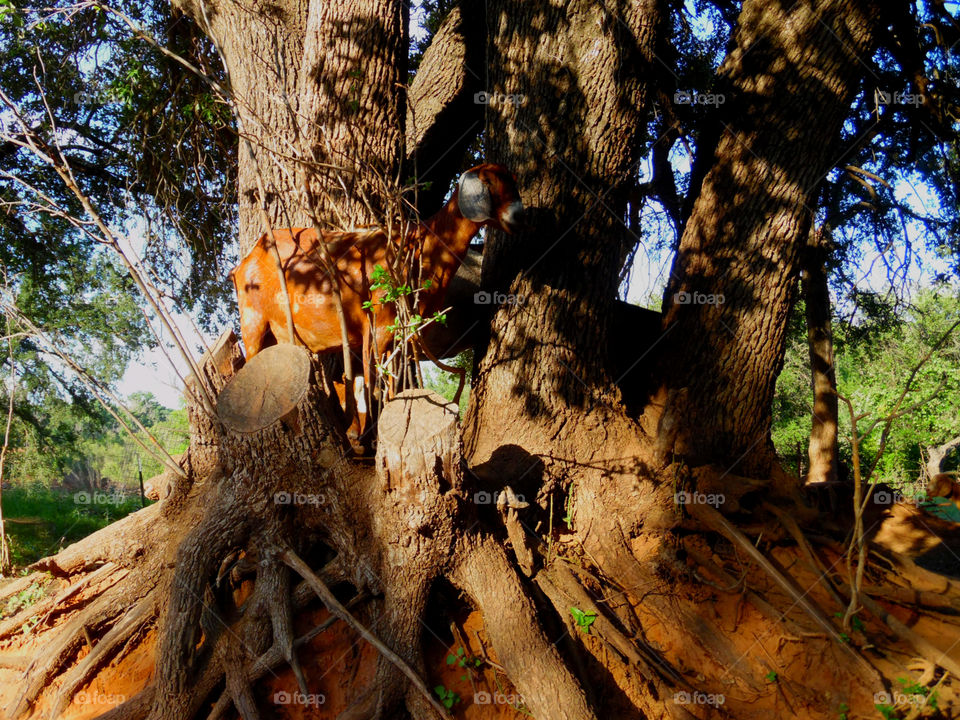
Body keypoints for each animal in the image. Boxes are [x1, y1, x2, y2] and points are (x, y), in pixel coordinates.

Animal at [230, 163, 523, 427]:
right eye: (489, 182)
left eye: (514, 182)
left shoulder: (399, 332)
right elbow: (376, 381)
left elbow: (391, 380)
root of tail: (244, 262)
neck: (416, 246)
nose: (519, 216)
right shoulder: (378, 324)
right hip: (253, 320)